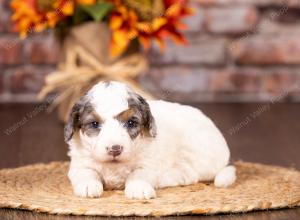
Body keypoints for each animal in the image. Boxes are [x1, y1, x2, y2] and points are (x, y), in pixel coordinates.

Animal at [65, 81, 237, 199]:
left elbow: (139, 173)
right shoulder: (79, 164)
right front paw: (88, 185)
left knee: (192, 174)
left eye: (131, 123)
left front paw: (137, 188)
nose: (115, 149)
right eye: (94, 124)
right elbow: (86, 172)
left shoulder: (149, 164)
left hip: (200, 154)